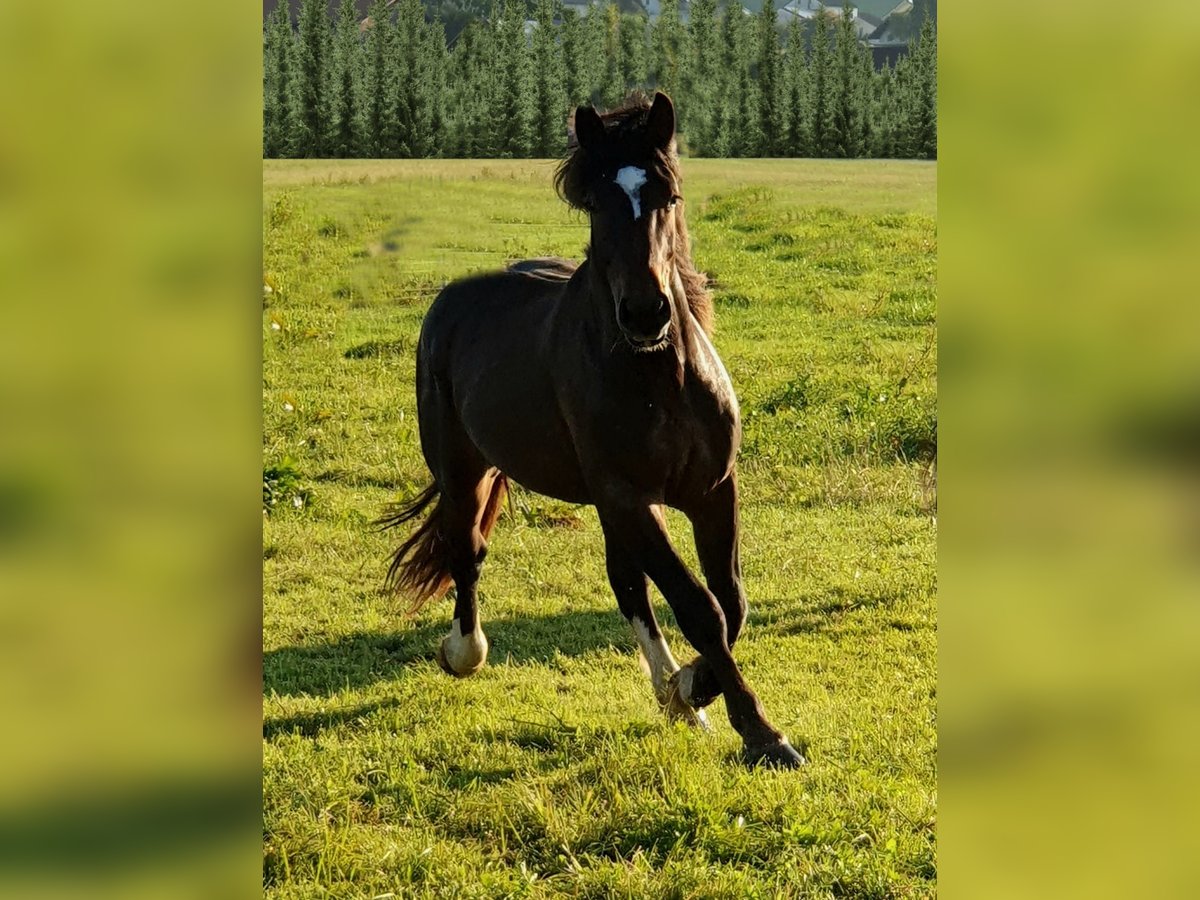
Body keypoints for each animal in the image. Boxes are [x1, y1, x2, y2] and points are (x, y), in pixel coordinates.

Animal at [379, 93, 801, 768]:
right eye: (598, 204)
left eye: (668, 196)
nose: (646, 312)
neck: (659, 378)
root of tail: (449, 305)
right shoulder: (630, 499)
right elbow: (700, 608)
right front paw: (760, 733)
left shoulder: (712, 492)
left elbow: (729, 602)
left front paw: (692, 688)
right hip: (464, 471)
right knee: (467, 550)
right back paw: (463, 652)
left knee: (626, 584)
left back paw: (674, 692)